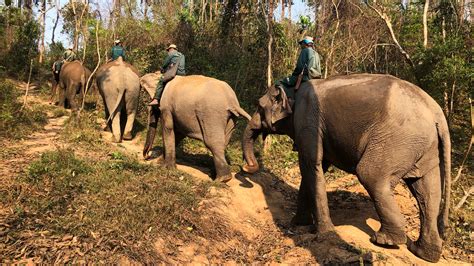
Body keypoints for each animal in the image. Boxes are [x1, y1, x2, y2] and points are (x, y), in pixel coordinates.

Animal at [241, 72, 452, 262]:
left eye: (259, 106)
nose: (248, 167)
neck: (294, 87)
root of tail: (437, 114)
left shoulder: (307, 119)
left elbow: (311, 164)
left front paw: (324, 233)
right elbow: (314, 169)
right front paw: (298, 224)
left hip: (397, 140)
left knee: (370, 175)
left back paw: (385, 240)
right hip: (425, 146)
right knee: (427, 191)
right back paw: (423, 253)